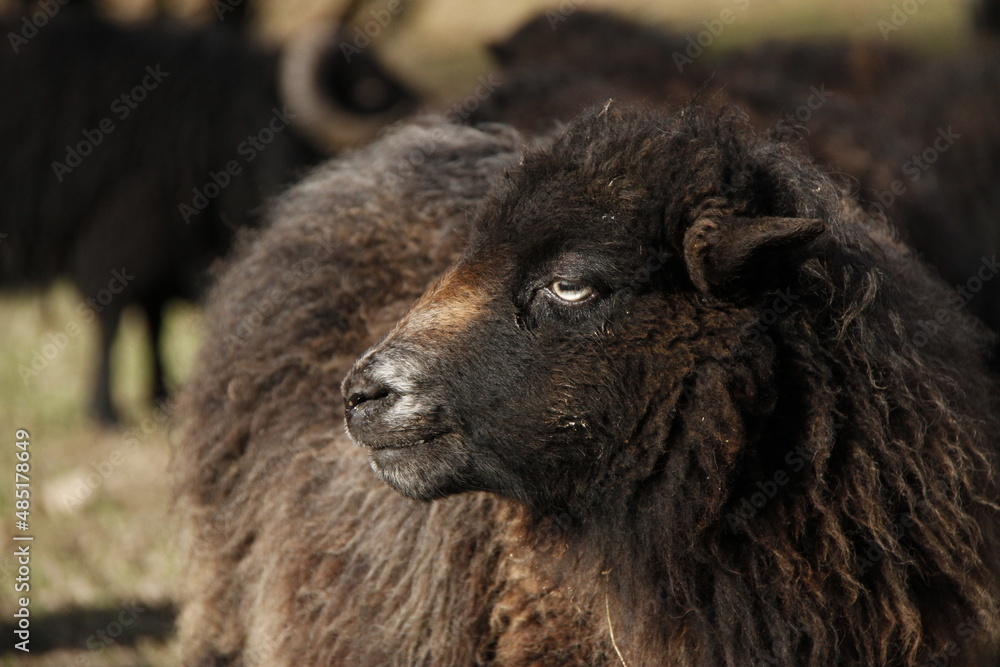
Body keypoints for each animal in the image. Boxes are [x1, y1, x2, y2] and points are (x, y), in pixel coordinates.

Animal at [0, 4, 415, 422]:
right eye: (371, 87)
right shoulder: (120, 237)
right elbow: (114, 321)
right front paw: (106, 411)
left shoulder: (163, 247)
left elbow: (153, 320)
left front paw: (160, 395)